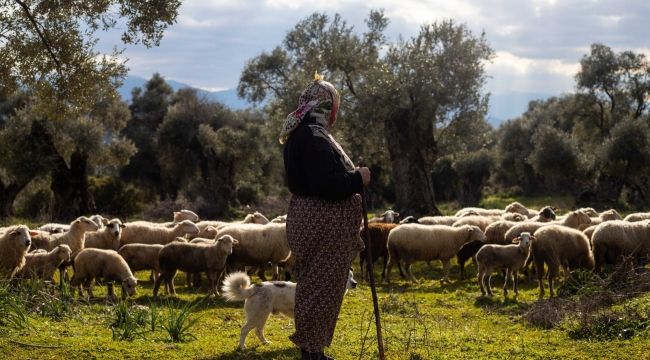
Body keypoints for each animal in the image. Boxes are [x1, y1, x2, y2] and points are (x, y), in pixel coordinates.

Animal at [221, 268, 354, 348]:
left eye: (352, 276)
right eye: (345, 277)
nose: (355, 283)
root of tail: (255, 287)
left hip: (263, 315)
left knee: (258, 330)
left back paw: (265, 342)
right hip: (258, 315)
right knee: (245, 329)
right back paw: (241, 346)